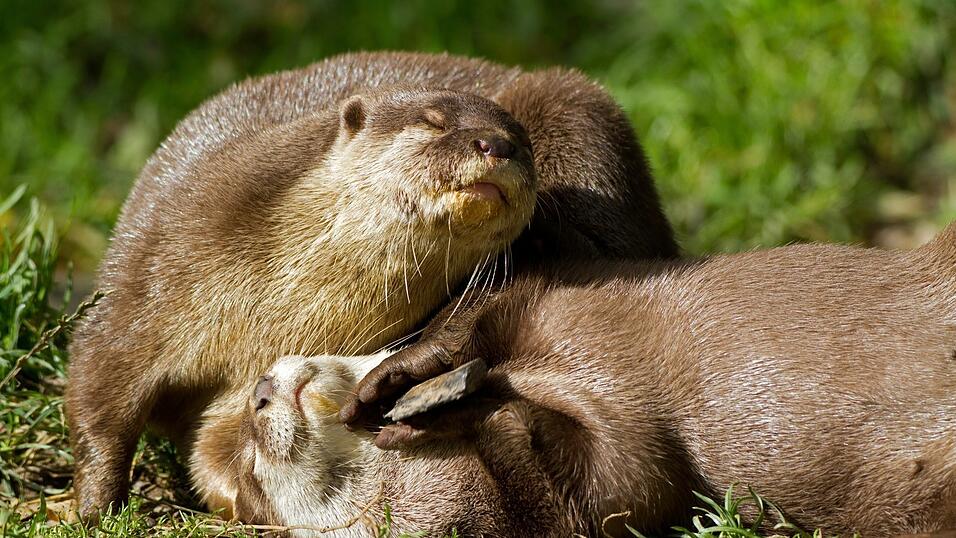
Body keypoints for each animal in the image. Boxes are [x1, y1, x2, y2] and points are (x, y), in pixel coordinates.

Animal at [66, 52, 677, 519]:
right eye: (434, 122)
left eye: (520, 141)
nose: (497, 145)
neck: (281, 304)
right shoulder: (152, 269)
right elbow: (99, 392)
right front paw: (90, 510)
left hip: (579, 112)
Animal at [237, 225, 956, 536]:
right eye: (252, 476)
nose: (259, 396)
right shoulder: (628, 492)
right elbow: (619, 477)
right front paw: (459, 408)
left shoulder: (550, 289)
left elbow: (482, 309)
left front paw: (398, 379)